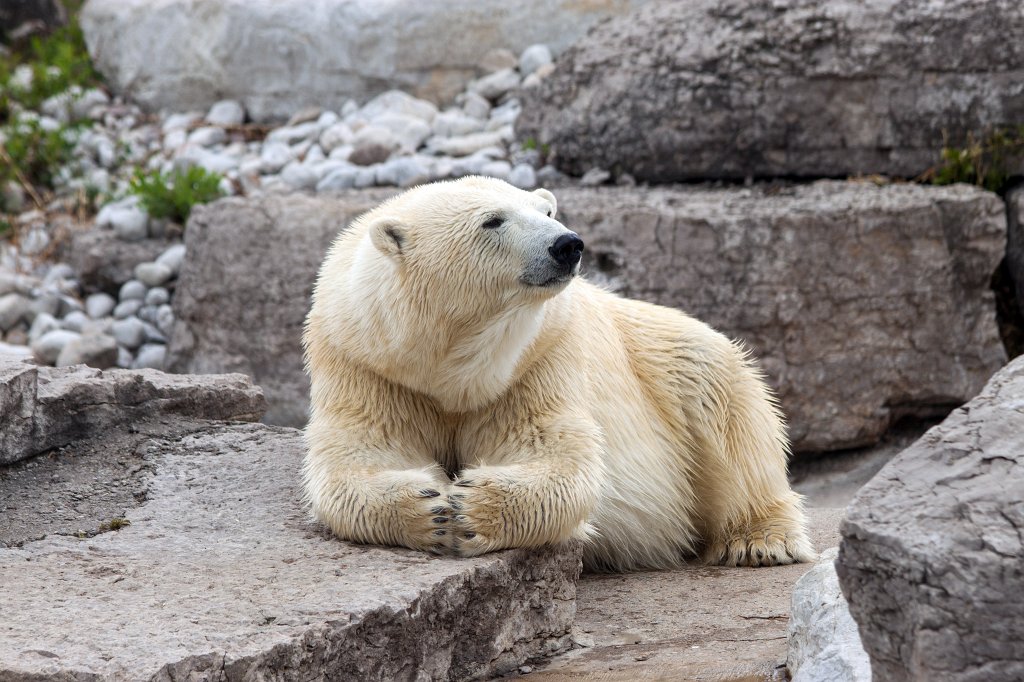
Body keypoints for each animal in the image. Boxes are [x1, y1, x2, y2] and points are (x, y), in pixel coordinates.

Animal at [302, 176, 815, 571]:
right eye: (493, 220)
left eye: (545, 209)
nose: (567, 243)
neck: (449, 365)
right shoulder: (369, 366)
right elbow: (362, 456)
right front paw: (431, 509)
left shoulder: (540, 358)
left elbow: (554, 454)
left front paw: (469, 508)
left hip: (653, 353)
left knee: (722, 399)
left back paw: (759, 541)